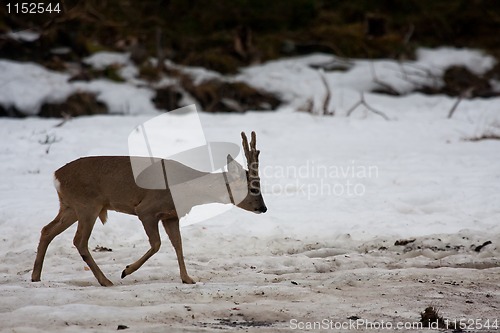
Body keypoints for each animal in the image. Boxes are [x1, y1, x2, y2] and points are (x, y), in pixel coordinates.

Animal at [30, 130, 266, 286]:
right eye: (254, 188)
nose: (263, 208)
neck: (188, 188)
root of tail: (56, 176)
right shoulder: (147, 210)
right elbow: (157, 244)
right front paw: (126, 270)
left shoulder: (171, 215)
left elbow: (178, 245)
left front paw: (187, 278)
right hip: (88, 205)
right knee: (79, 241)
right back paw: (106, 281)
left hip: (70, 206)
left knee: (47, 230)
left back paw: (36, 277)